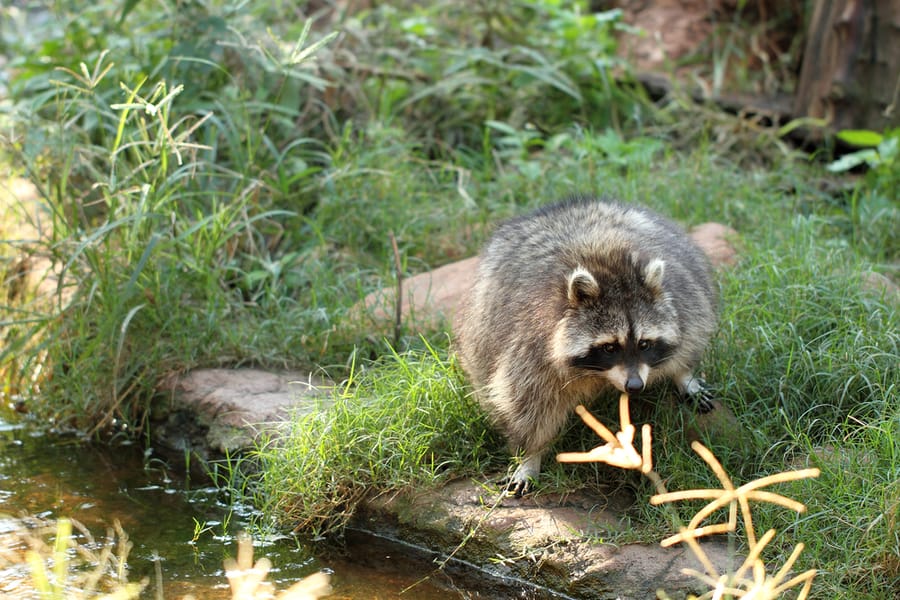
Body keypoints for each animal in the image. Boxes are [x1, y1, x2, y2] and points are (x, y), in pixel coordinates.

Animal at [458, 197, 716, 496]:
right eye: (610, 348)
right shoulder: (530, 346)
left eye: (644, 344)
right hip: (481, 328)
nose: (635, 386)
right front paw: (530, 455)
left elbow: (688, 336)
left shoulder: (684, 300)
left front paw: (683, 374)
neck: (608, 266)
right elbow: (526, 403)